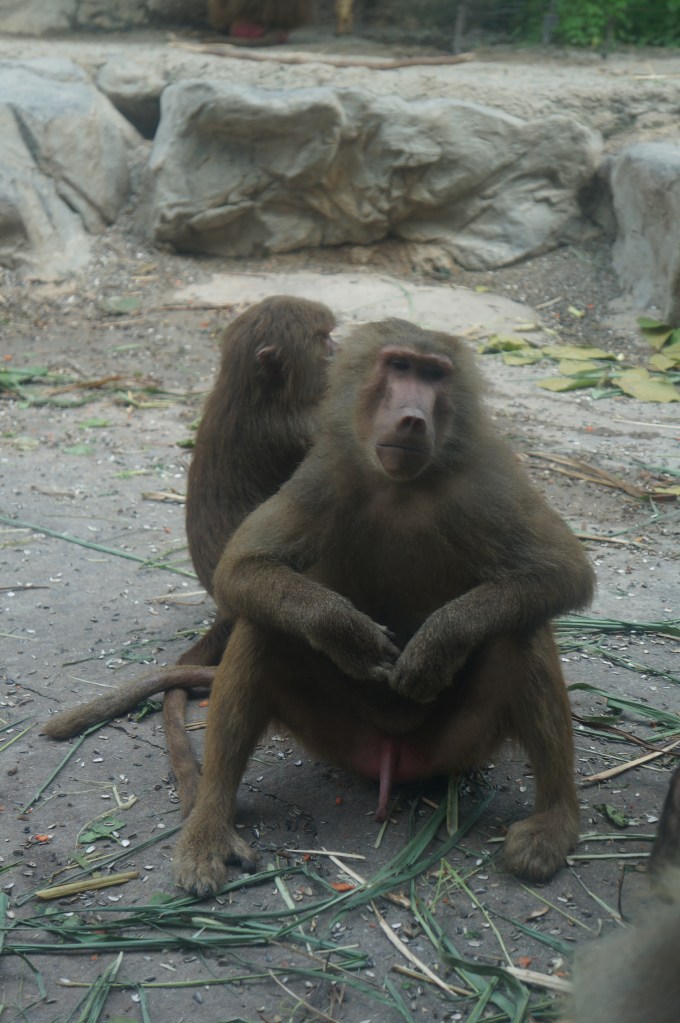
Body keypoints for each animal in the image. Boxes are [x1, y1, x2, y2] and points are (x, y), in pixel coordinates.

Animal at [170, 317, 595, 897]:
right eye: (398, 366)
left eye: (434, 374)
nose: (413, 418)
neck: (402, 489)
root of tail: (392, 757)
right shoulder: (324, 470)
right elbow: (241, 567)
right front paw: (345, 635)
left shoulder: (490, 473)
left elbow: (563, 572)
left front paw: (435, 649)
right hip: (338, 736)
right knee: (262, 627)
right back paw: (210, 823)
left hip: (456, 744)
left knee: (521, 630)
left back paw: (554, 822)